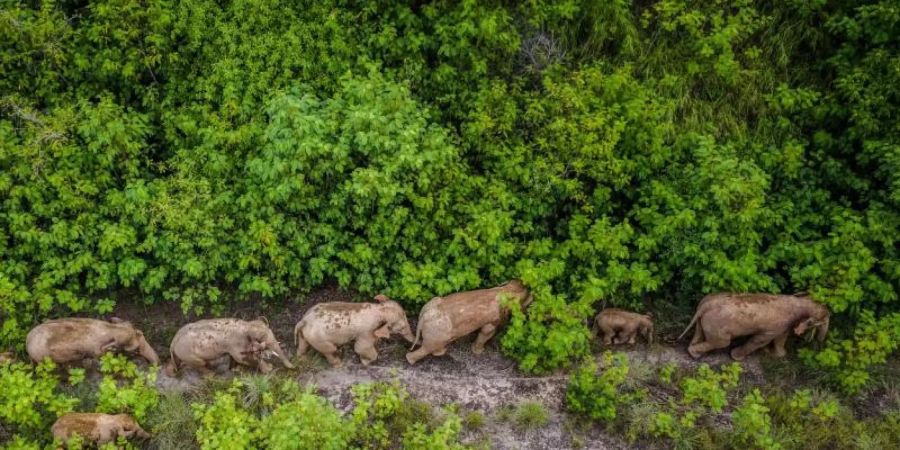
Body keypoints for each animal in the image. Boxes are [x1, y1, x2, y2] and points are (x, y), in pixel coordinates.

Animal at [163, 318, 294, 378]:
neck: (246, 325)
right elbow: (243, 358)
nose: (293, 367)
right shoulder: (235, 344)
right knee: (199, 364)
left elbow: (235, 358)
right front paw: (268, 369)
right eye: (261, 338)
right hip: (188, 354)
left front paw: (234, 369)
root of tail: (172, 342)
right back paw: (212, 374)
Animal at [404, 280, 532, 364]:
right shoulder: (492, 318)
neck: (504, 290)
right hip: (438, 332)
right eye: (525, 298)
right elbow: (487, 331)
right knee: (427, 348)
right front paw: (479, 352)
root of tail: (424, 316)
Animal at [684, 292, 828, 362]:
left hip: (705, 320)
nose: (819, 343)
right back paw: (695, 356)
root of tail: (705, 305)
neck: (799, 301)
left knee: (700, 332)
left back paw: (694, 352)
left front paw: (778, 355)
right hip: (717, 326)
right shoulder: (775, 326)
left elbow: (781, 338)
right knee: (722, 342)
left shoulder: (785, 325)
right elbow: (760, 340)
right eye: (819, 322)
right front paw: (736, 357)